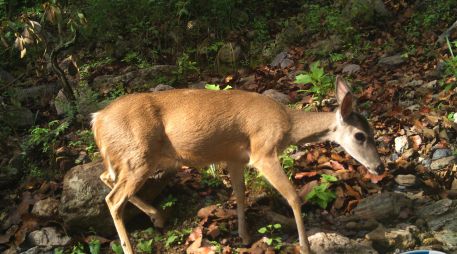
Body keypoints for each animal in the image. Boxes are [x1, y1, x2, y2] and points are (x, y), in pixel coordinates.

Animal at [91, 76, 382, 253]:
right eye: (360, 135)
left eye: (373, 132)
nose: (379, 167)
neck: (288, 125)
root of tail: (97, 119)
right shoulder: (263, 151)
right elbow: (293, 197)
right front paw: (305, 246)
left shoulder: (235, 157)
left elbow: (241, 195)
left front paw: (244, 236)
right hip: (138, 156)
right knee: (113, 199)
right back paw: (131, 245)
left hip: (129, 159)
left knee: (106, 178)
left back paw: (158, 216)